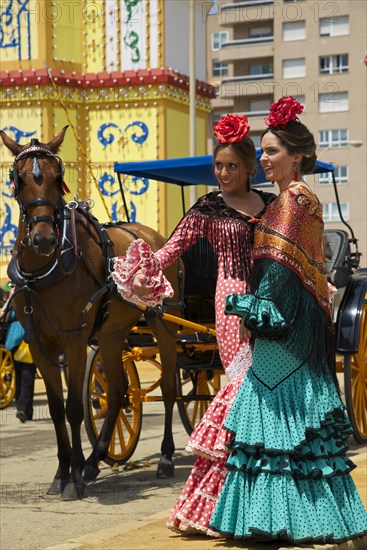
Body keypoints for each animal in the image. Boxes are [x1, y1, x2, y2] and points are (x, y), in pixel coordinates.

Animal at [1, 128, 183, 500]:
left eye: (57, 176)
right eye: (19, 178)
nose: (43, 238)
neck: (46, 267)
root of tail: (152, 234)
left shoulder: (73, 340)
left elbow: (73, 407)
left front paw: (74, 480)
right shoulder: (38, 344)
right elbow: (56, 407)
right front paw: (63, 472)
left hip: (161, 320)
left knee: (171, 384)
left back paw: (165, 458)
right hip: (112, 335)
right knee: (117, 391)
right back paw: (95, 460)